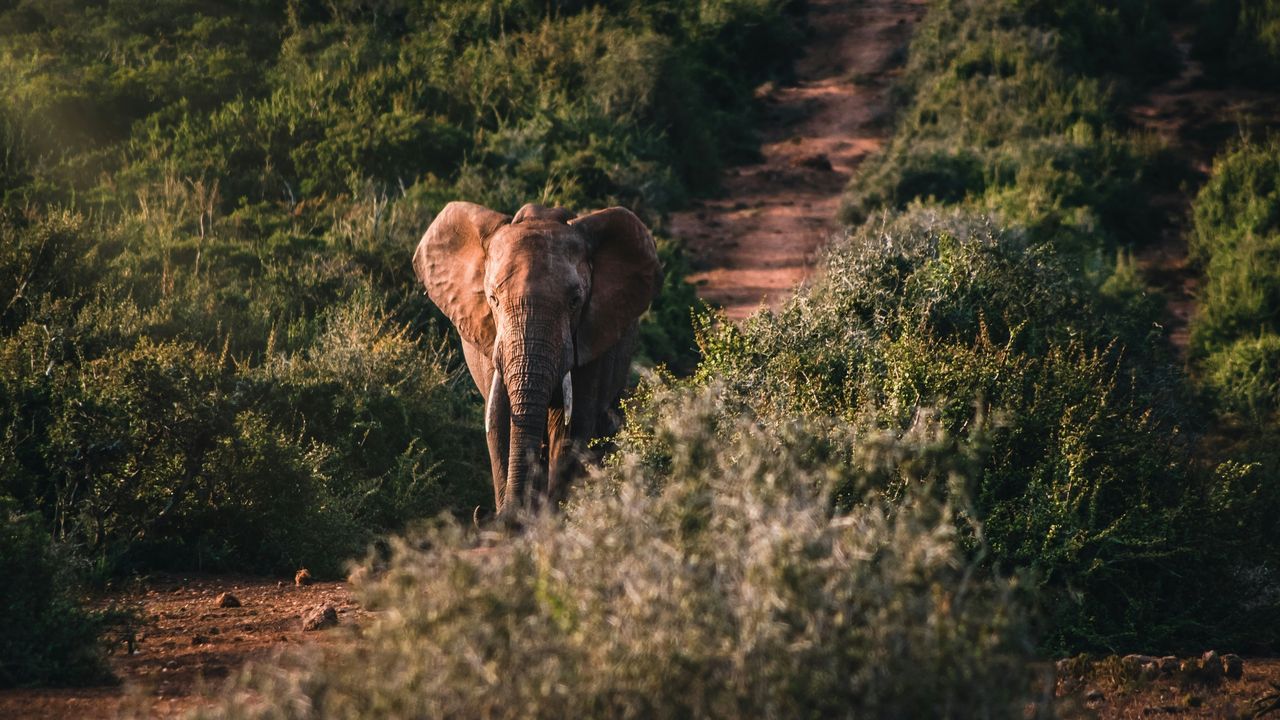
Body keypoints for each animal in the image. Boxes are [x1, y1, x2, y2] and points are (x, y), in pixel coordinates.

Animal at [413, 201, 662, 520]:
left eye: (575, 301)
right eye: (493, 299)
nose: (484, 514)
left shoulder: (591, 340)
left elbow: (571, 427)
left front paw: (550, 520)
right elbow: (499, 421)